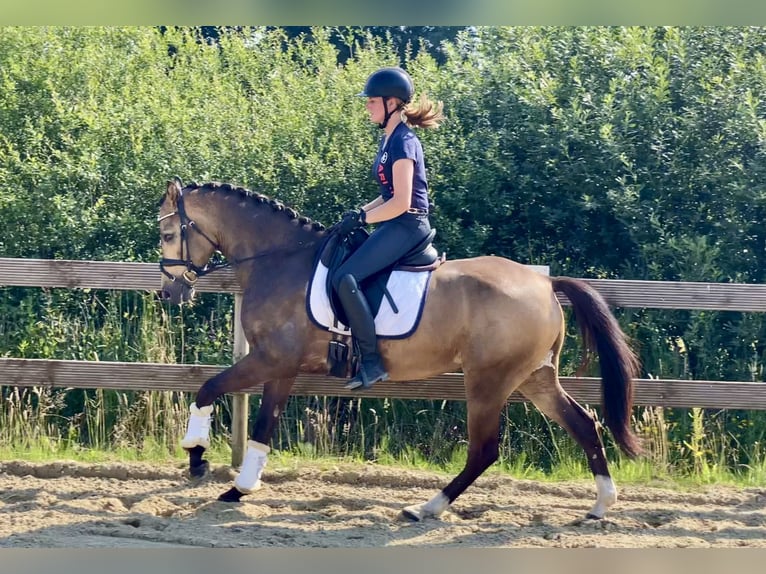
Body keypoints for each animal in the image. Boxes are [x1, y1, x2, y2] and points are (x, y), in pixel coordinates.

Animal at [159, 178, 644, 524]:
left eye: (166, 233)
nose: (170, 293)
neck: (279, 260)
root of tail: (545, 283)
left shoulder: (270, 358)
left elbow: (208, 388)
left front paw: (197, 457)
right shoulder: (282, 366)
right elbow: (263, 427)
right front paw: (239, 488)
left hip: (489, 381)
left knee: (484, 450)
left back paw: (425, 508)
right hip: (533, 377)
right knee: (583, 424)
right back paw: (600, 506)